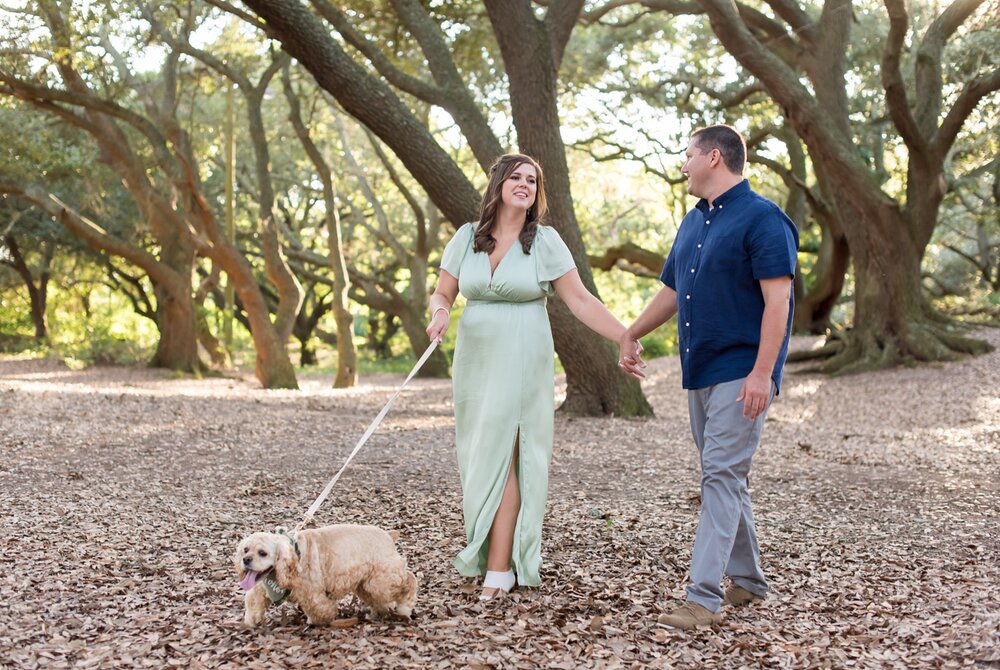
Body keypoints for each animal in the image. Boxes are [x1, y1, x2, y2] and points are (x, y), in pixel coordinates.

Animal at [235, 524, 418, 632]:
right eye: (245, 550)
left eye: (262, 553)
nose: (246, 559)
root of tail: (388, 534)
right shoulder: (262, 587)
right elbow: (253, 600)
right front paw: (250, 620)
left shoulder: (311, 592)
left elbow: (320, 608)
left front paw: (321, 620)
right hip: (366, 583)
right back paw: (377, 613)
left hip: (381, 579)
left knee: (409, 580)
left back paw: (404, 609)